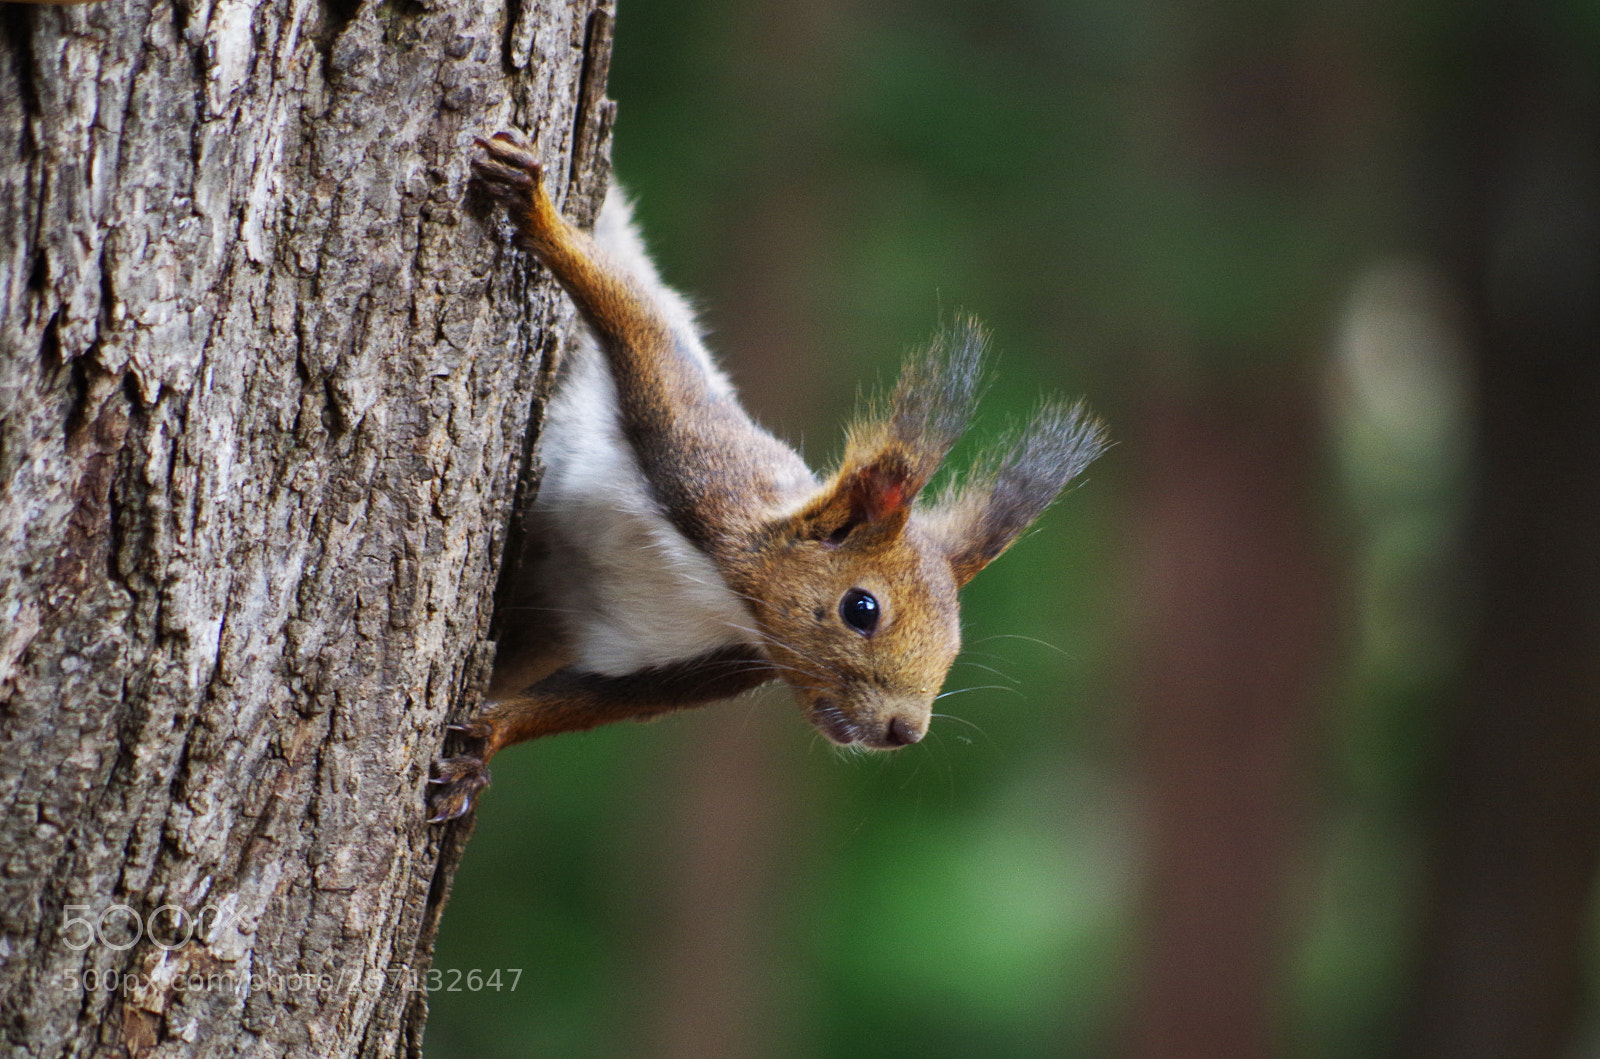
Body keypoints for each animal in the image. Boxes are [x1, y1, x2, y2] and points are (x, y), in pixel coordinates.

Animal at [428, 132, 1106, 823]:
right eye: (861, 609)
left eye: (956, 641)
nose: (904, 731)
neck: (722, 596)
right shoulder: (700, 462)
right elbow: (635, 320)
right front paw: (536, 208)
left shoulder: (711, 664)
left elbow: (585, 703)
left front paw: (485, 742)